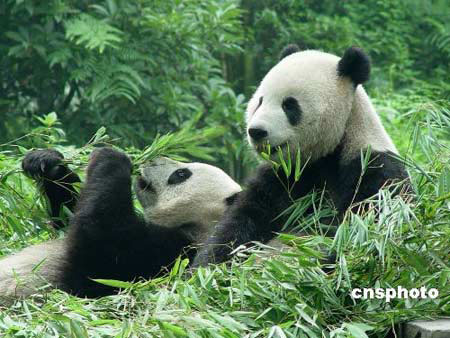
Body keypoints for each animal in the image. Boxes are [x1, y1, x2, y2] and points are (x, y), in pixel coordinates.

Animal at [0, 147, 241, 302]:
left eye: (181, 174)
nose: (152, 158)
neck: (197, 226)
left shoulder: (173, 255)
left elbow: (101, 246)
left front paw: (113, 156)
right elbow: (69, 214)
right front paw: (47, 162)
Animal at [193, 45, 412, 266]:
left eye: (289, 105)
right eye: (260, 101)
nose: (256, 131)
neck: (327, 153)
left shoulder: (372, 168)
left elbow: (356, 228)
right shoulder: (282, 177)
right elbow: (240, 223)